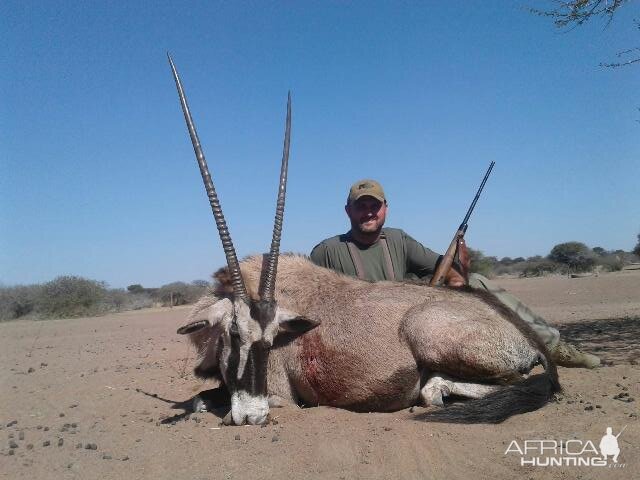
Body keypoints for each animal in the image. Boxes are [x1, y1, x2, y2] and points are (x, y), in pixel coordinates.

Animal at [169, 57, 560, 428]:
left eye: (270, 339)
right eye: (234, 334)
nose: (253, 416)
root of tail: (524, 334)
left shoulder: (281, 394)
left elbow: (204, 399)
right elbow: (198, 398)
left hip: (431, 335)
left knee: (502, 383)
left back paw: (433, 388)